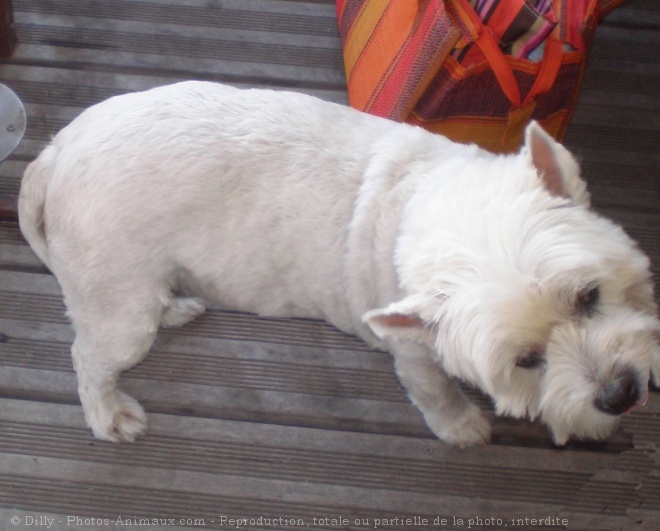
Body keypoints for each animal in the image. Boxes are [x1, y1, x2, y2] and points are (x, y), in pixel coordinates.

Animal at [18, 81, 656, 446]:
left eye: (589, 296)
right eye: (526, 361)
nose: (620, 395)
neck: (425, 202)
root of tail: (53, 155)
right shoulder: (412, 349)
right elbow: (435, 391)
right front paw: (463, 427)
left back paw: (176, 305)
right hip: (118, 304)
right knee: (88, 357)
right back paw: (108, 414)